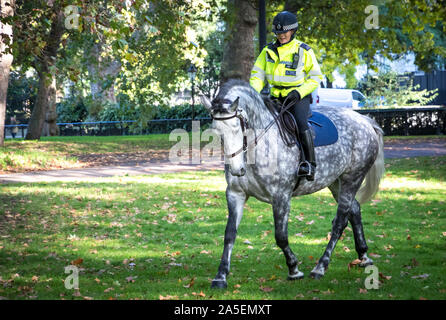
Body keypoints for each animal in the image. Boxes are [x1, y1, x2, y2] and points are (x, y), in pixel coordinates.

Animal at [200, 79, 386, 288]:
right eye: (218, 133)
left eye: (239, 127)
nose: (236, 169)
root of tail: (365, 121)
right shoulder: (235, 194)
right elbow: (229, 234)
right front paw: (221, 276)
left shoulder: (281, 196)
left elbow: (280, 236)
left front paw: (294, 268)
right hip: (336, 182)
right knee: (354, 210)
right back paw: (363, 256)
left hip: (352, 178)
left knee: (340, 222)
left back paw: (320, 267)